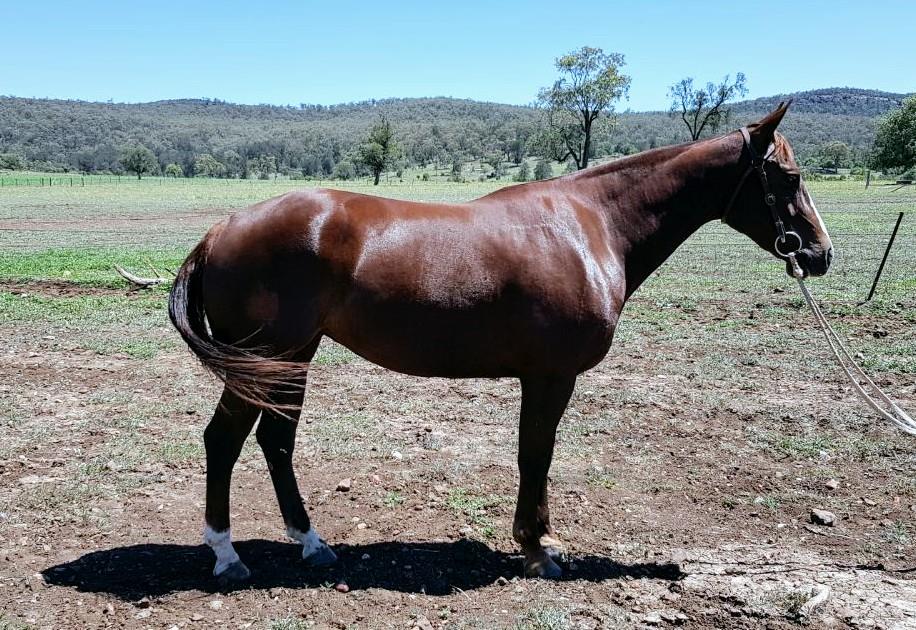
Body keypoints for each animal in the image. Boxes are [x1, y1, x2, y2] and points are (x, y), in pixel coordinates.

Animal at [168, 102, 833, 582]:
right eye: (789, 177)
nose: (820, 254)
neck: (592, 225)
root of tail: (220, 230)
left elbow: (534, 456)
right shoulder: (550, 376)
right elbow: (535, 455)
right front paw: (538, 549)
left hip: (290, 360)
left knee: (275, 442)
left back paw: (311, 544)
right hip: (269, 359)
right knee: (224, 441)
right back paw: (227, 556)